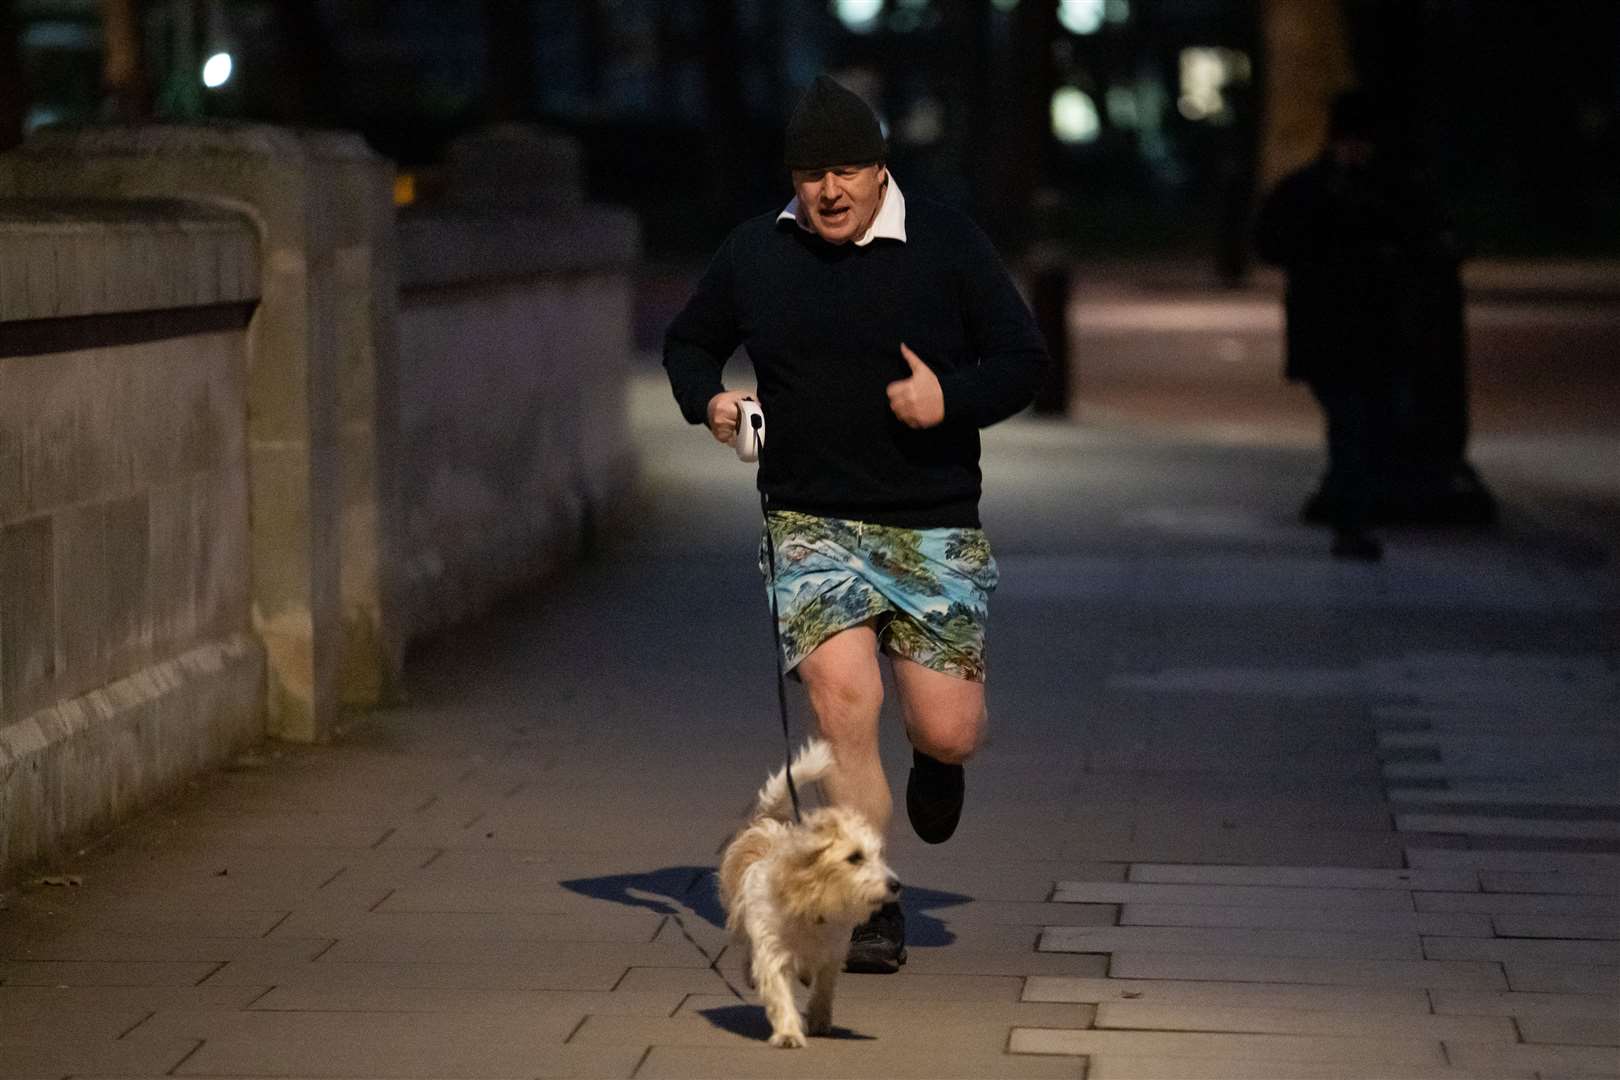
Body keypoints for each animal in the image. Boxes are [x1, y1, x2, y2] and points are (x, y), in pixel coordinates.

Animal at [719, 738, 900, 1049]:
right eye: (854, 857)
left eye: (879, 856)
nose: (895, 884)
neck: (812, 903)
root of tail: (770, 820)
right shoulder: (773, 948)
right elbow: (779, 991)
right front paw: (789, 1033)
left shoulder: (833, 952)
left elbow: (824, 988)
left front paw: (819, 1019)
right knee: (748, 950)